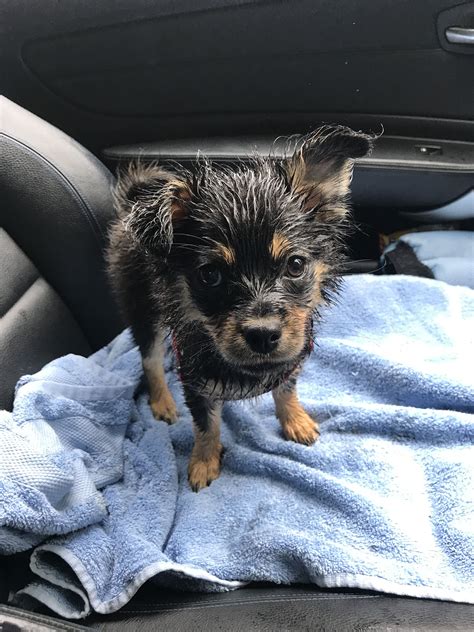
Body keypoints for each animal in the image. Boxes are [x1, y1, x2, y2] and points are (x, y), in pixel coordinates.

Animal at [106, 124, 374, 488]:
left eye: (295, 265)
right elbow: (206, 424)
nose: (262, 335)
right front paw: (204, 463)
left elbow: (286, 388)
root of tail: (130, 207)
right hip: (143, 308)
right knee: (149, 359)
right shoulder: (197, 380)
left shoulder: (289, 357)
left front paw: (295, 420)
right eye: (210, 275)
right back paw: (162, 402)